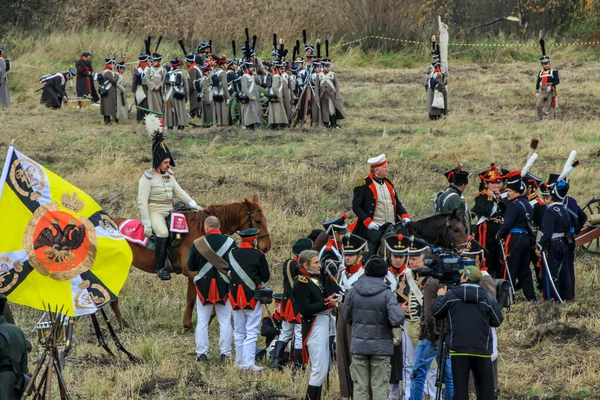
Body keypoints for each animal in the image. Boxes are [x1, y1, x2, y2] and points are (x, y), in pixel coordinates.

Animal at [111, 195, 270, 330]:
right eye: (258, 221)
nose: (266, 246)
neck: (200, 229)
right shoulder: (193, 273)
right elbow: (192, 299)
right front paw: (188, 324)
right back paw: (123, 325)